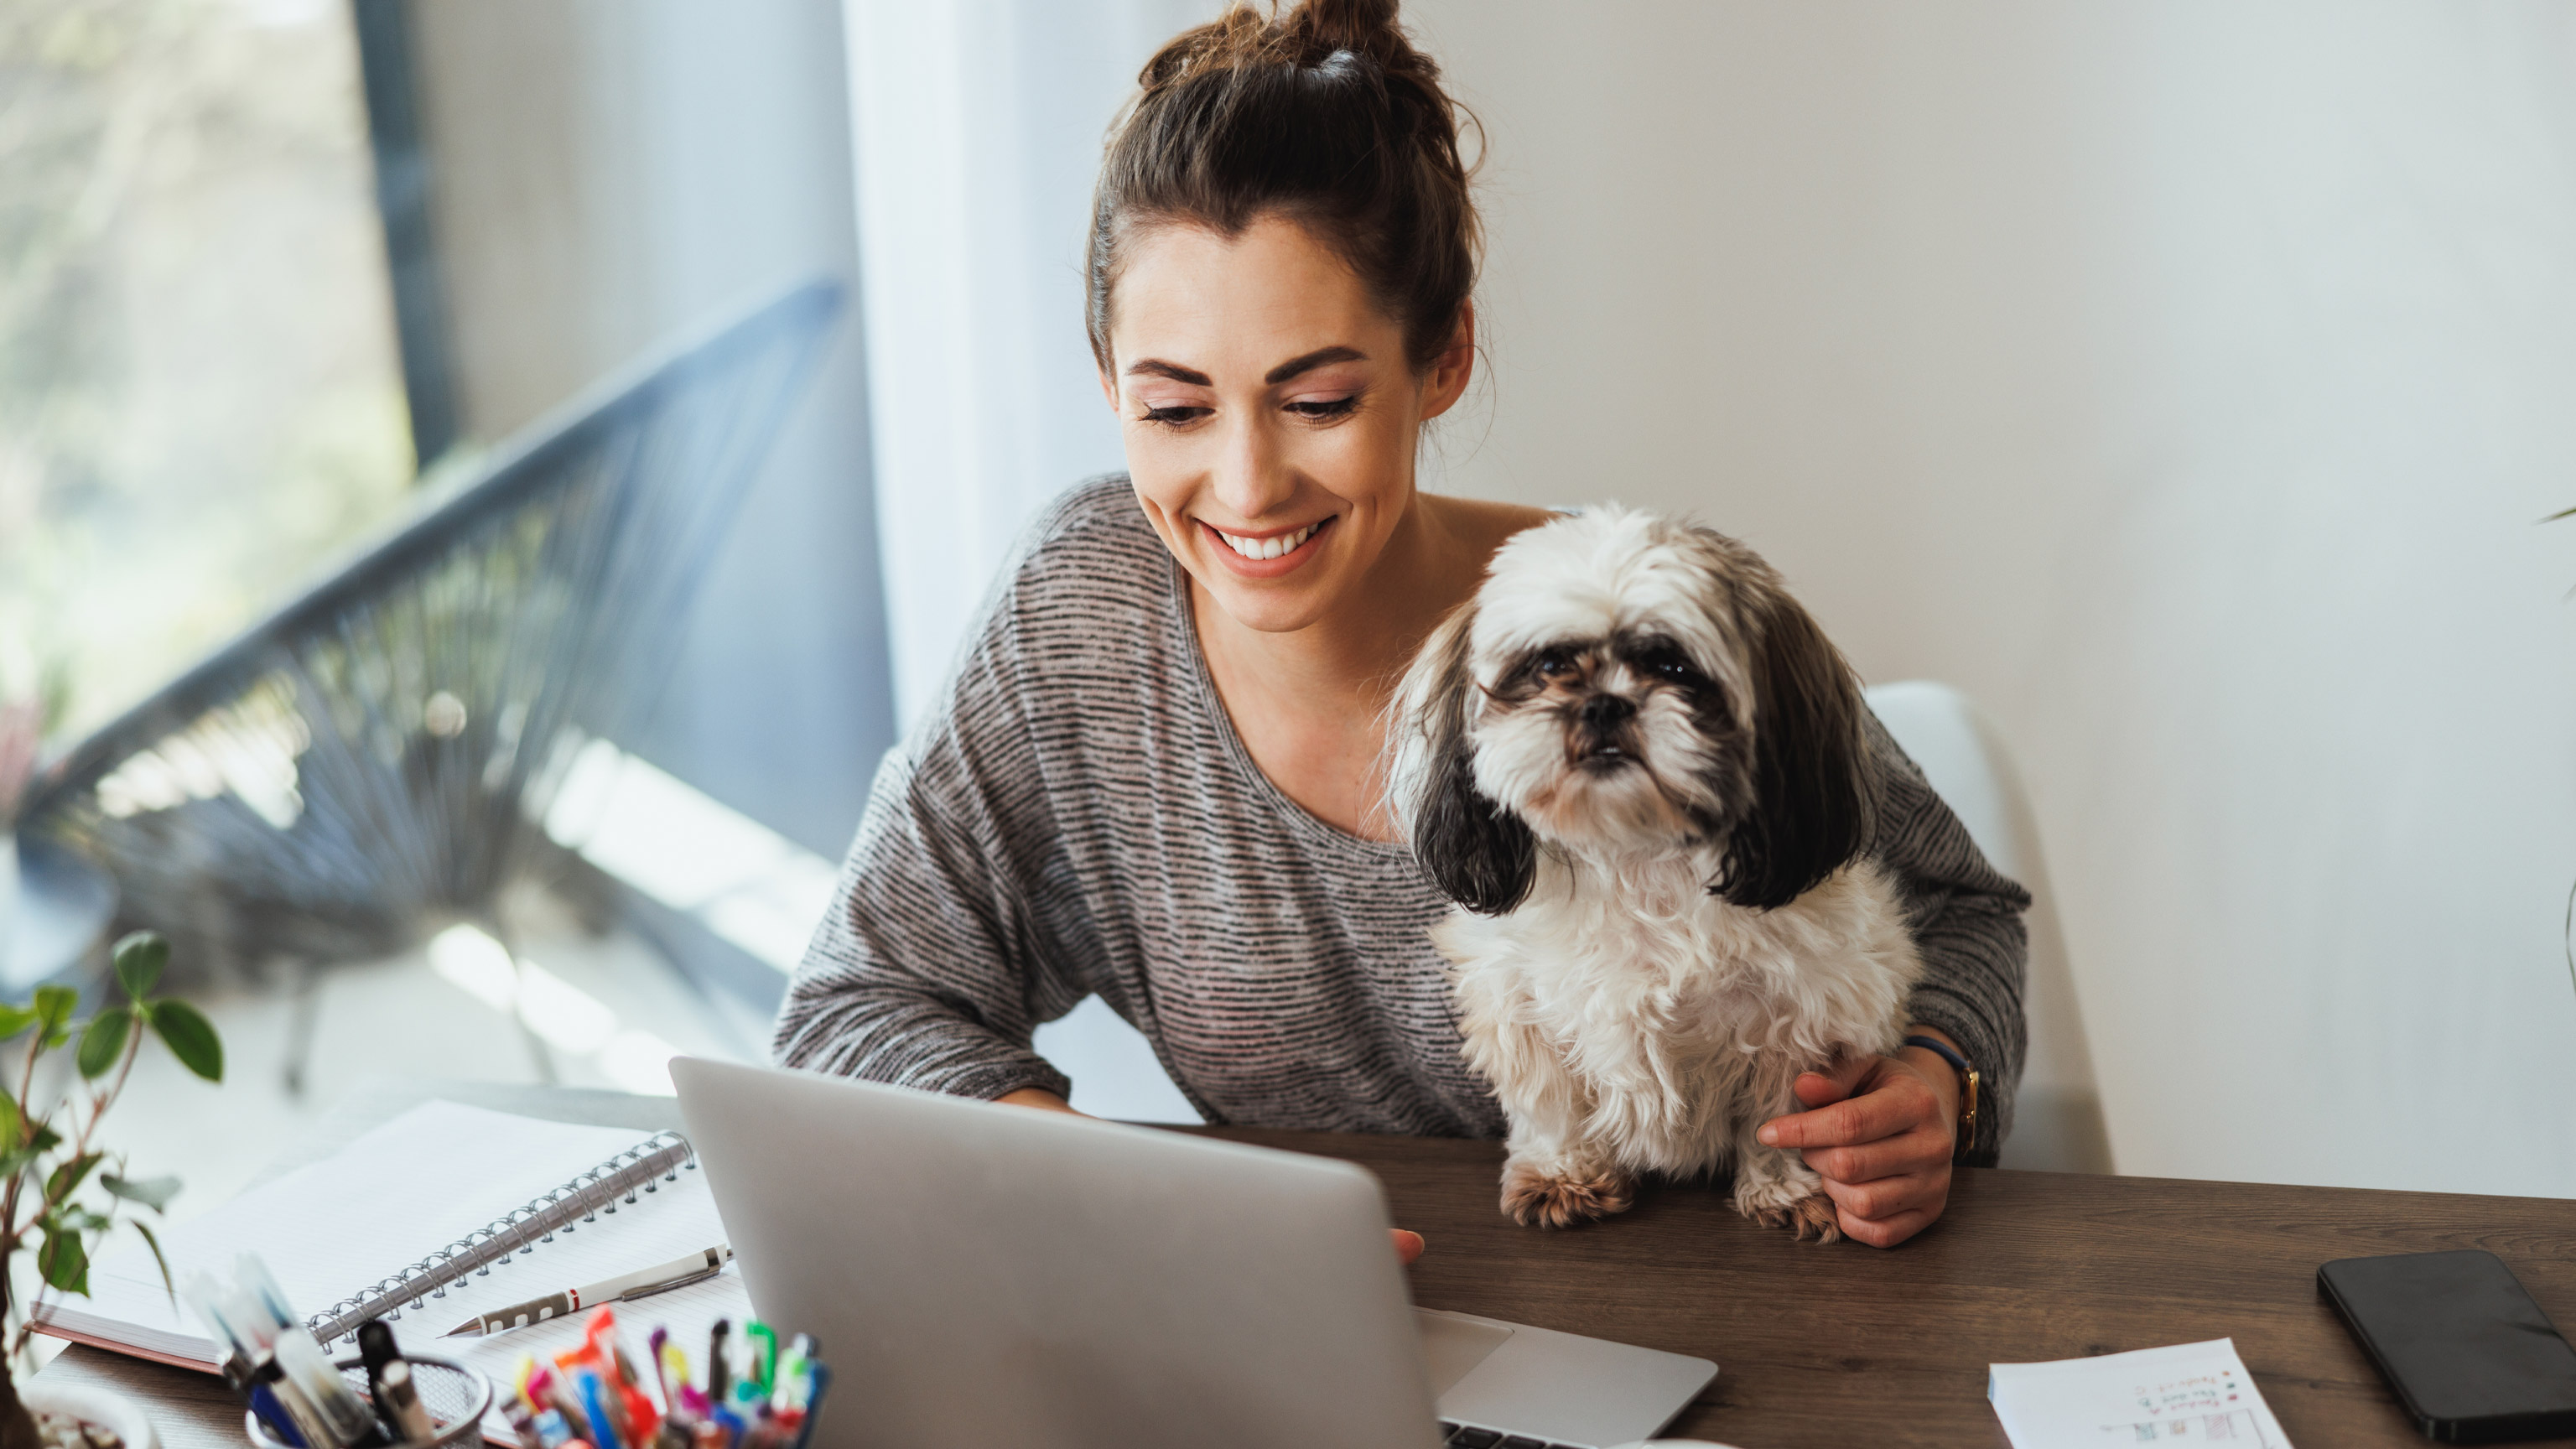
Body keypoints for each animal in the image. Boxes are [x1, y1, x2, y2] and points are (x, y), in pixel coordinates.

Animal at [1390, 507, 1916, 1243]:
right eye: (1550, 664)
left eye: (1673, 666)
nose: (1605, 704)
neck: (1633, 853)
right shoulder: (1518, 1005)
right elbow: (1551, 1102)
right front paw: (1563, 1172)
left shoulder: (1803, 1017)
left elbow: (1778, 1117)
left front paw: (1783, 1188)